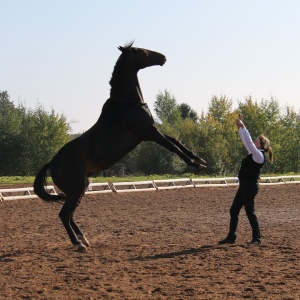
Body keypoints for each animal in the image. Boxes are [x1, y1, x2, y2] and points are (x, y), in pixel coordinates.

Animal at [32, 41, 206, 250]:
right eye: (142, 52)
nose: (163, 57)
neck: (128, 103)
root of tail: (52, 163)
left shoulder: (148, 134)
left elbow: (175, 141)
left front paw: (199, 159)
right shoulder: (149, 133)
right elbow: (173, 146)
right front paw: (195, 164)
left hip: (80, 188)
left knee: (70, 214)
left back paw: (84, 238)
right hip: (76, 189)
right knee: (64, 214)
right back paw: (78, 243)